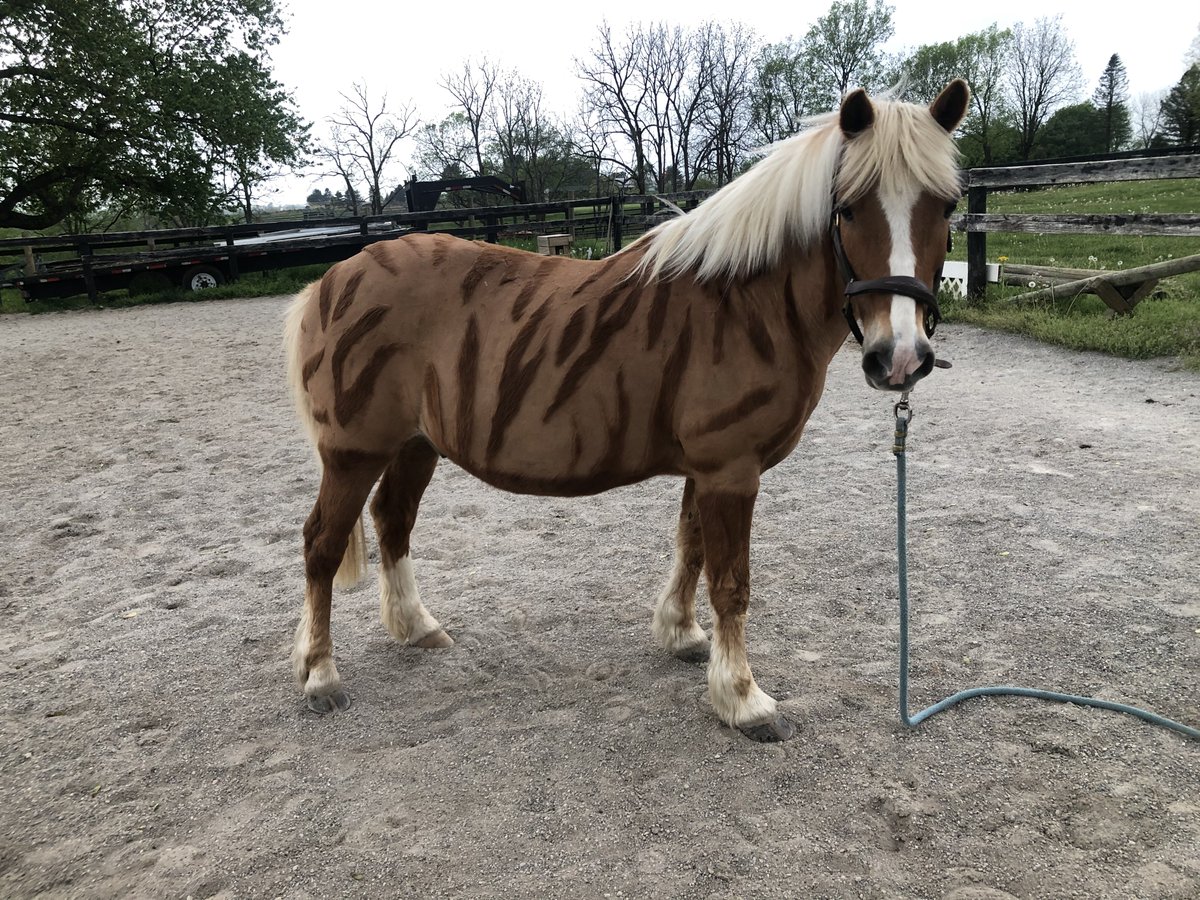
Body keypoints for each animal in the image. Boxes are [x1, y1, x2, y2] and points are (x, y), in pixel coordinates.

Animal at [283, 80, 970, 742]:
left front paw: (681, 635)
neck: (747, 304)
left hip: (414, 445)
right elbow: (731, 582)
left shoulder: (708, 470)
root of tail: (333, 278)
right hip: (354, 452)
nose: (899, 357)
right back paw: (319, 674)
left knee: (392, 521)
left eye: (947, 207)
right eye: (849, 208)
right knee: (322, 544)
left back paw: (417, 628)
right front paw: (743, 699)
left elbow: (691, 549)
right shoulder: (731, 471)